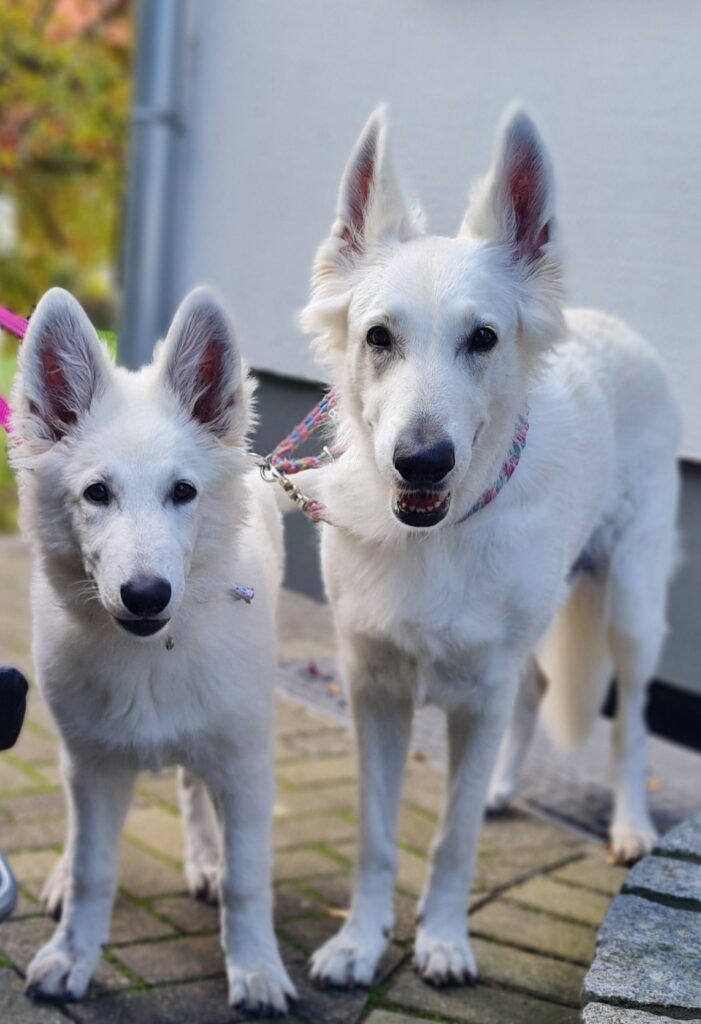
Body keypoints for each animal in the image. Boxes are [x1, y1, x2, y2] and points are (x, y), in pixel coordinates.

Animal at [10, 287, 295, 1013]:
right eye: (97, 493)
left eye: (183, 492)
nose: (144, 595)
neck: (149, 655)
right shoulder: (93, 764)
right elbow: (93, 869)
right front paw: (72, 957)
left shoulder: (245, 762)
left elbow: (250, 880)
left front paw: (255, 968)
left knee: (195, 789)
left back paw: (206, 860)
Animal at [298, 106, 681, 988]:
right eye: (378, 337)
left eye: (481, 338)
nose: (421, 461)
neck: (436, 535)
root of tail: (618, 330)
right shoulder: (372, 689)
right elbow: (375, 837)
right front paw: (359, 942)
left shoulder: (475, 696)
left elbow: (453, 837)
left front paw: (441, 940)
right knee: (536, 691)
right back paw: (507, 786)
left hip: (629, 606)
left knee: (630, 721)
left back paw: (630, 824)